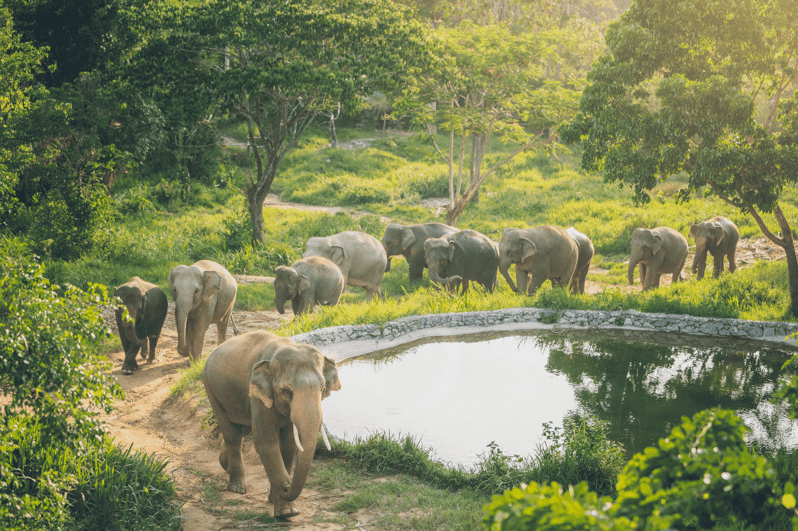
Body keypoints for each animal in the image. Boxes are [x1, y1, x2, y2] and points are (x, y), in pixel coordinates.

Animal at [202, 332, 342, 520]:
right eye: (287, 391)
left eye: (322, 389)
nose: (286, 486)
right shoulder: (258, 395)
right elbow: (267, 444)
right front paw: (288, 513)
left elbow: (289, 445)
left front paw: (274, 499)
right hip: (211, 389)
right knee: (231, 433)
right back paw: (237, 488)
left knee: (242, 429)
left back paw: (225, 464)